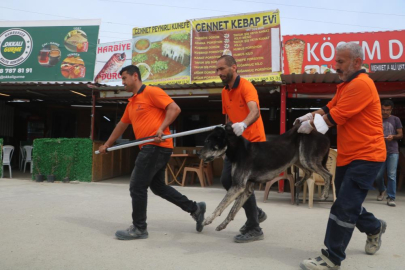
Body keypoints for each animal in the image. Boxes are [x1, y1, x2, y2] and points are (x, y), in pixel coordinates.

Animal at [199, 123, 332, 231]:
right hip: (299, 160)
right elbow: (233, 210)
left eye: (208, 141)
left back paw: (325, 194)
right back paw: (299, 183)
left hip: (307, 160)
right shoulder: (246, 189)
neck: (239, 149)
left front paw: (208, 219)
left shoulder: (238, 186)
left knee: (328, 174)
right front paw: (223, 225)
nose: (199, 154)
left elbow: (221, 205)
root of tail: (325, 137)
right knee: (309, 173)